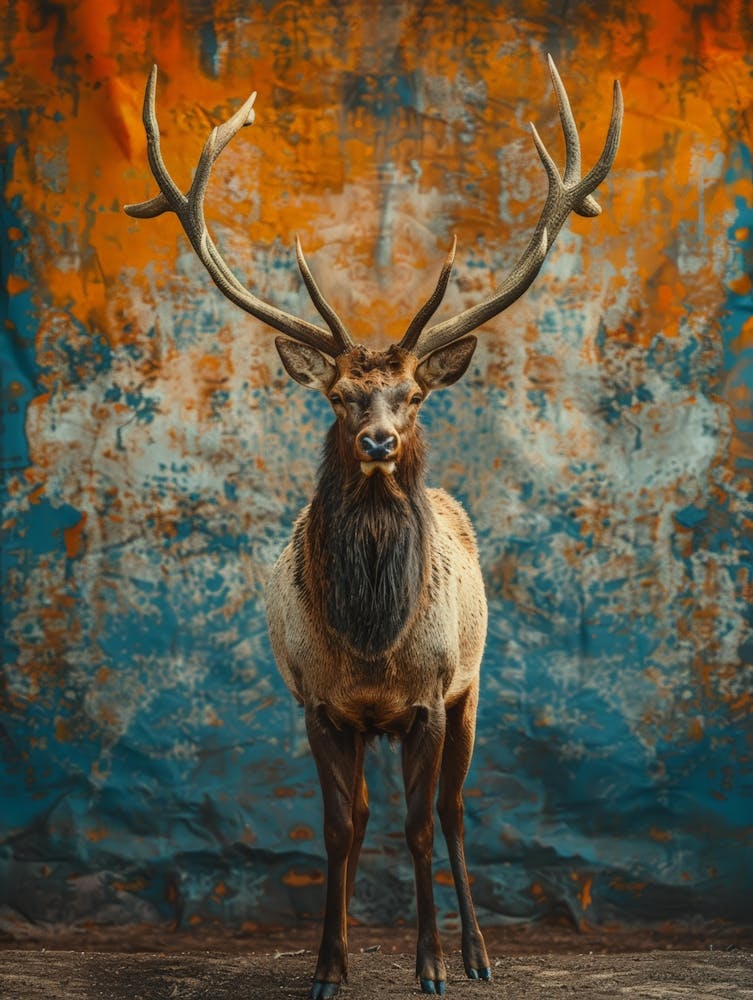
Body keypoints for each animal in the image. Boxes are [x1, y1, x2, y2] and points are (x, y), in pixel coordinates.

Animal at [125, 56, 622, 998]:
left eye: (413, 394)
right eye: (338, 396)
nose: (379, 440)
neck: (369, 641)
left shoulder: (430, 698)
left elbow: (421, 829)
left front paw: (430, 966)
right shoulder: (317, 703)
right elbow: (337, 830)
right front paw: (329, 966)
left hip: (473, 684)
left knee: (457, 815)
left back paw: (477, 953)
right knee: (360, 816)